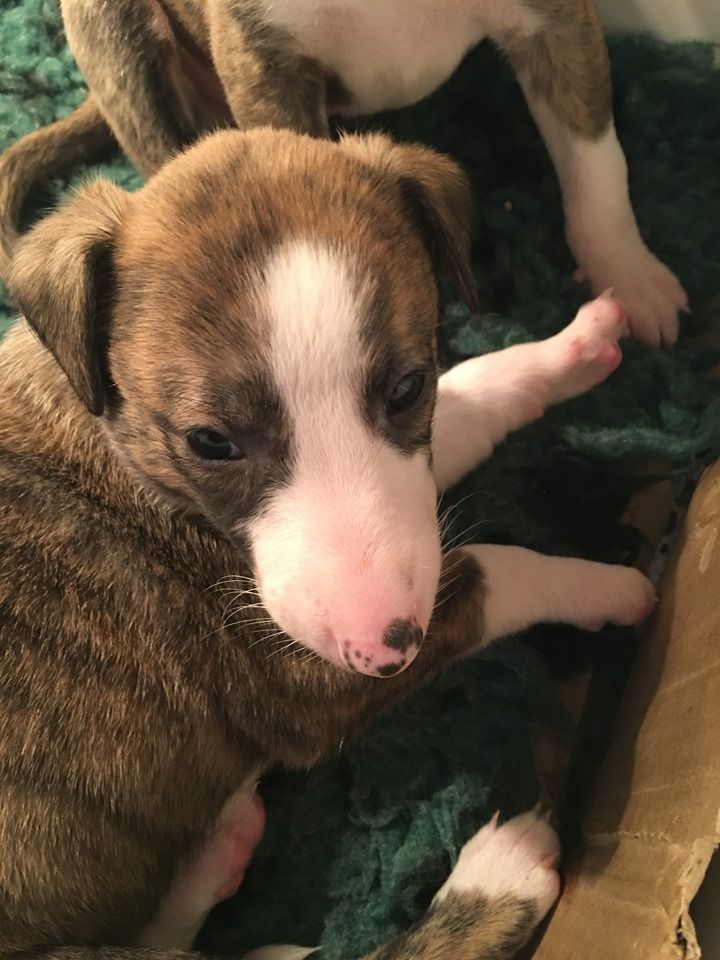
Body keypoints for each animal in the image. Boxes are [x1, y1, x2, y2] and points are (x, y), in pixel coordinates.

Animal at [0, 125, 655, 959]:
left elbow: (469, 401)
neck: (128, 458)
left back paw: (218, 852)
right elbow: (490, 570)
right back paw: (495, 880)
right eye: (210, 441)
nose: (388, 648)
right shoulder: (296, 682)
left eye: (408, 387)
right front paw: (603, 586)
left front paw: (569, 349)